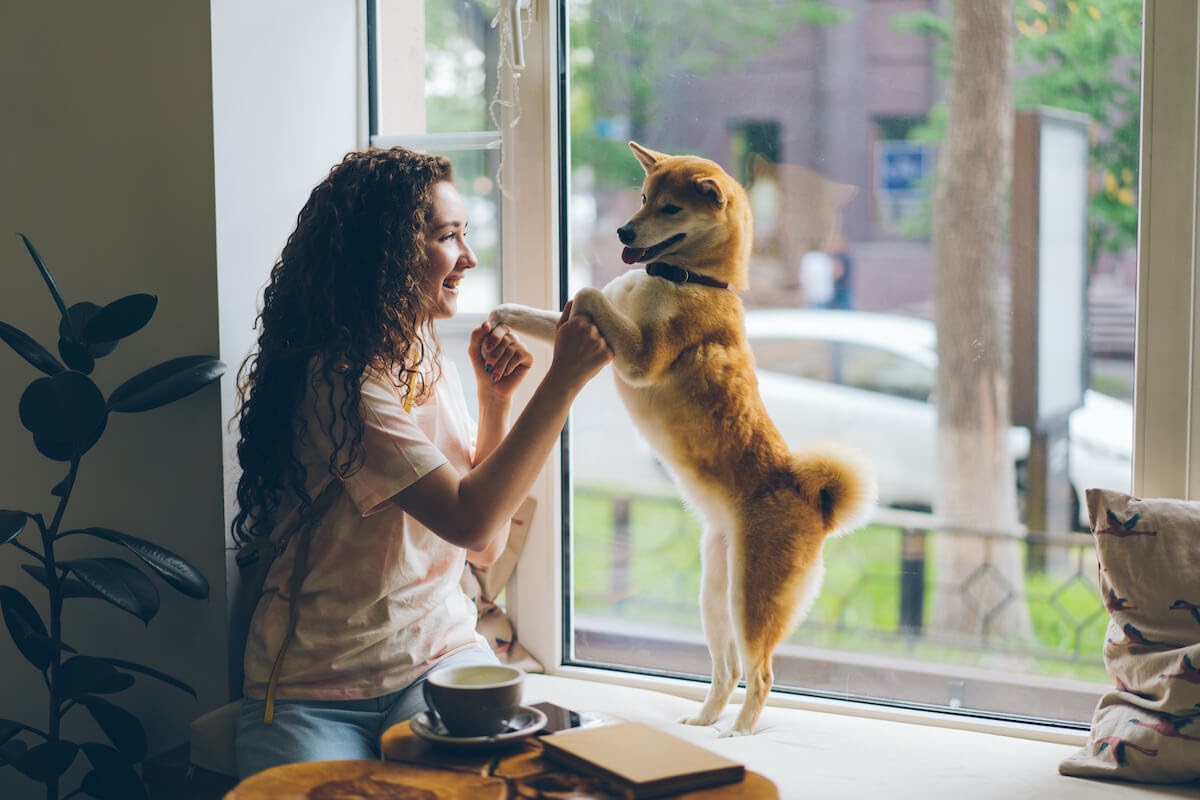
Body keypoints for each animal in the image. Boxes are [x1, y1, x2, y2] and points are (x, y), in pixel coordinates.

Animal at [492, 140, 878, 734]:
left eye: (671, 209)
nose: (623, 231)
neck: (685, 278)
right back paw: (702, 723)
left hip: (752, 599)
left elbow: (585, 291)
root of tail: (815, 500)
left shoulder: (639, 357)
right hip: (714, 593)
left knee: (760, 675)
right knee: (727, 670)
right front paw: (505, 312)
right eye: (642, 198)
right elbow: (551, 313)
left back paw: (738, 733)